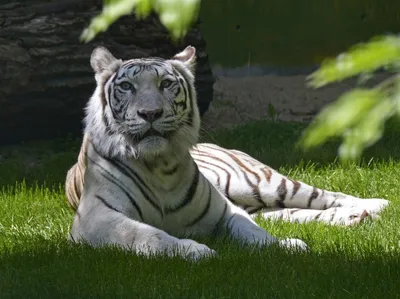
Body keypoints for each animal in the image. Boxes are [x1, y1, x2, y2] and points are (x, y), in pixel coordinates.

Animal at [65, 45, 388, 262]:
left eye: (165, 84)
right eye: (126, 86)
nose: (150, 113)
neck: (161, 166)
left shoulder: (226, 210)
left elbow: (254, 232)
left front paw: (283, 247)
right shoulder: (96, 217)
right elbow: (146, 233)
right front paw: (194, 250)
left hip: (257, 183)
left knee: (324, 196)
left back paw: (374, 205)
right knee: (289, 212)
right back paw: (355, 217)